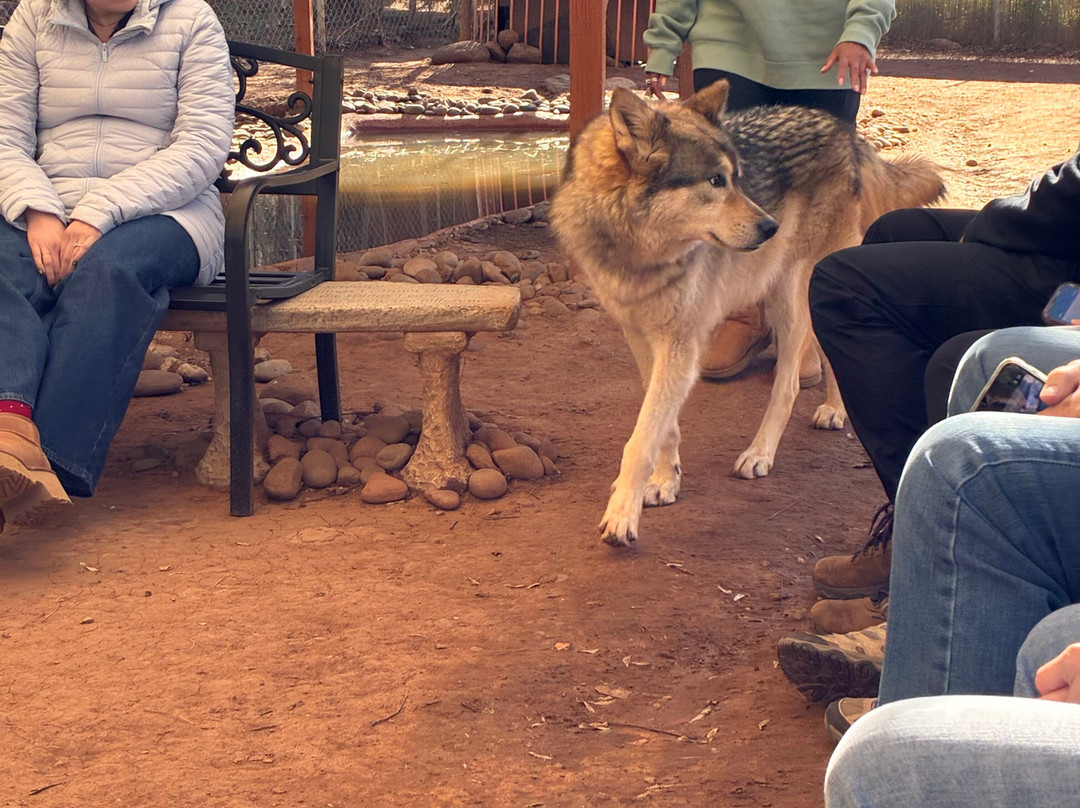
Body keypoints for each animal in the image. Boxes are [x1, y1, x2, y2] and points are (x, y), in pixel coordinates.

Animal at [550, 81, 944, 547]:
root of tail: (846, 134)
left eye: (735, 179)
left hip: (791, 294)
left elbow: (641, 438)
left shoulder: (680, 344)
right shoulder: (642, 336)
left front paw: (622, 515)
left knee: (788, 384)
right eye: (716, 181)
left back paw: (759, 453)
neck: (636, 253)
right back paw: (835, 409)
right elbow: (662, 423)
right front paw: (666, 480)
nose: (771, 226)